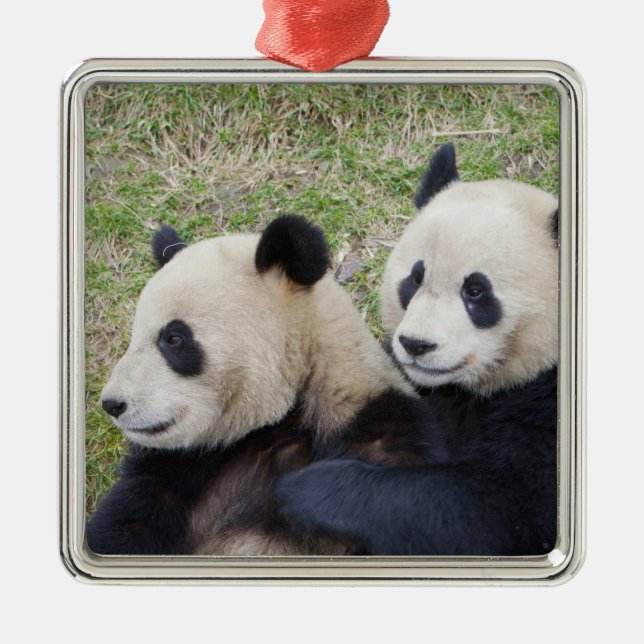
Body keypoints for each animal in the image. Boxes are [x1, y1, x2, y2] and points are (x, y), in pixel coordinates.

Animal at [275, 143, 559, 556]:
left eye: (476, 291)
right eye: (415, 277)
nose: (416, 344)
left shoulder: (544, 405)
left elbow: (494, 509)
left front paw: (306, 489)